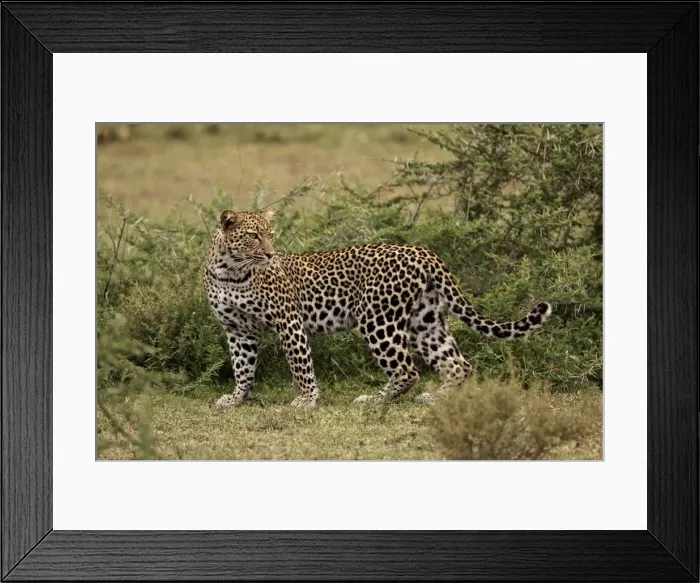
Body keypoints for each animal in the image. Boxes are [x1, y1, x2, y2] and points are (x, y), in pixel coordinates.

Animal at [204, 208, 552, 409]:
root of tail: (423, 251)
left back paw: (373, 401)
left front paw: (307, 399)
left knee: (407, 370)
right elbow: (243, 368)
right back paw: (435, 398)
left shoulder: (288, 320)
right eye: (254, 236)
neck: (230, 271)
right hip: (425, 322)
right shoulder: (237, 331)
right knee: (458, 365)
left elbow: (299, 364)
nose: (270, 254)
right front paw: (236, 398)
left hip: (379, 320)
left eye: (271, 235)